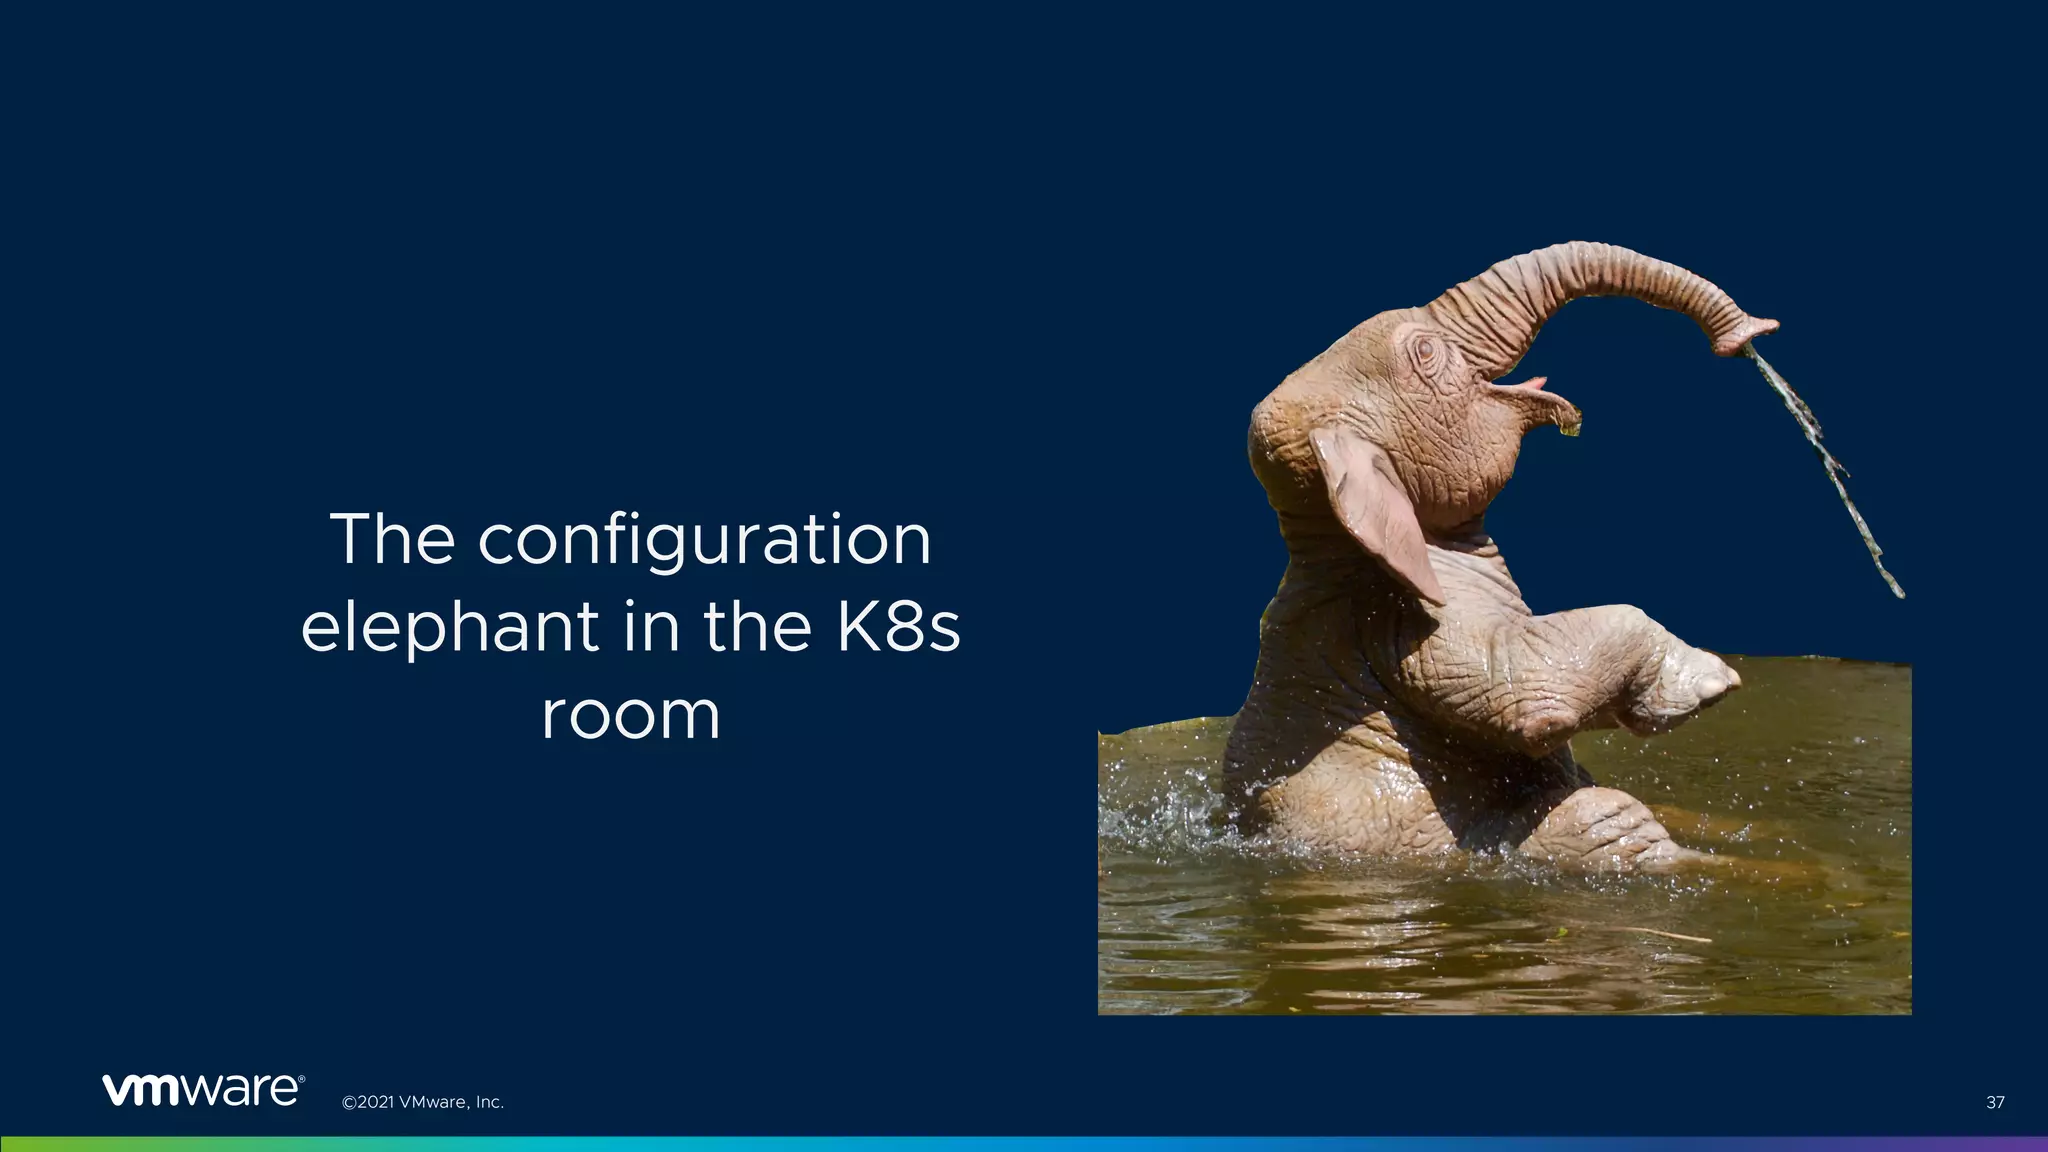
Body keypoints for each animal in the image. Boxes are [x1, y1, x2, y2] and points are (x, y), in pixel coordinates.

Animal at [1222, 241, 1778, 872]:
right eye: (1426, 353)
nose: (1748, 338)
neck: (1328, 537)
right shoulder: (1401, 619)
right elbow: (1522, 695)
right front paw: (1713, 680)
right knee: (1606, 817)